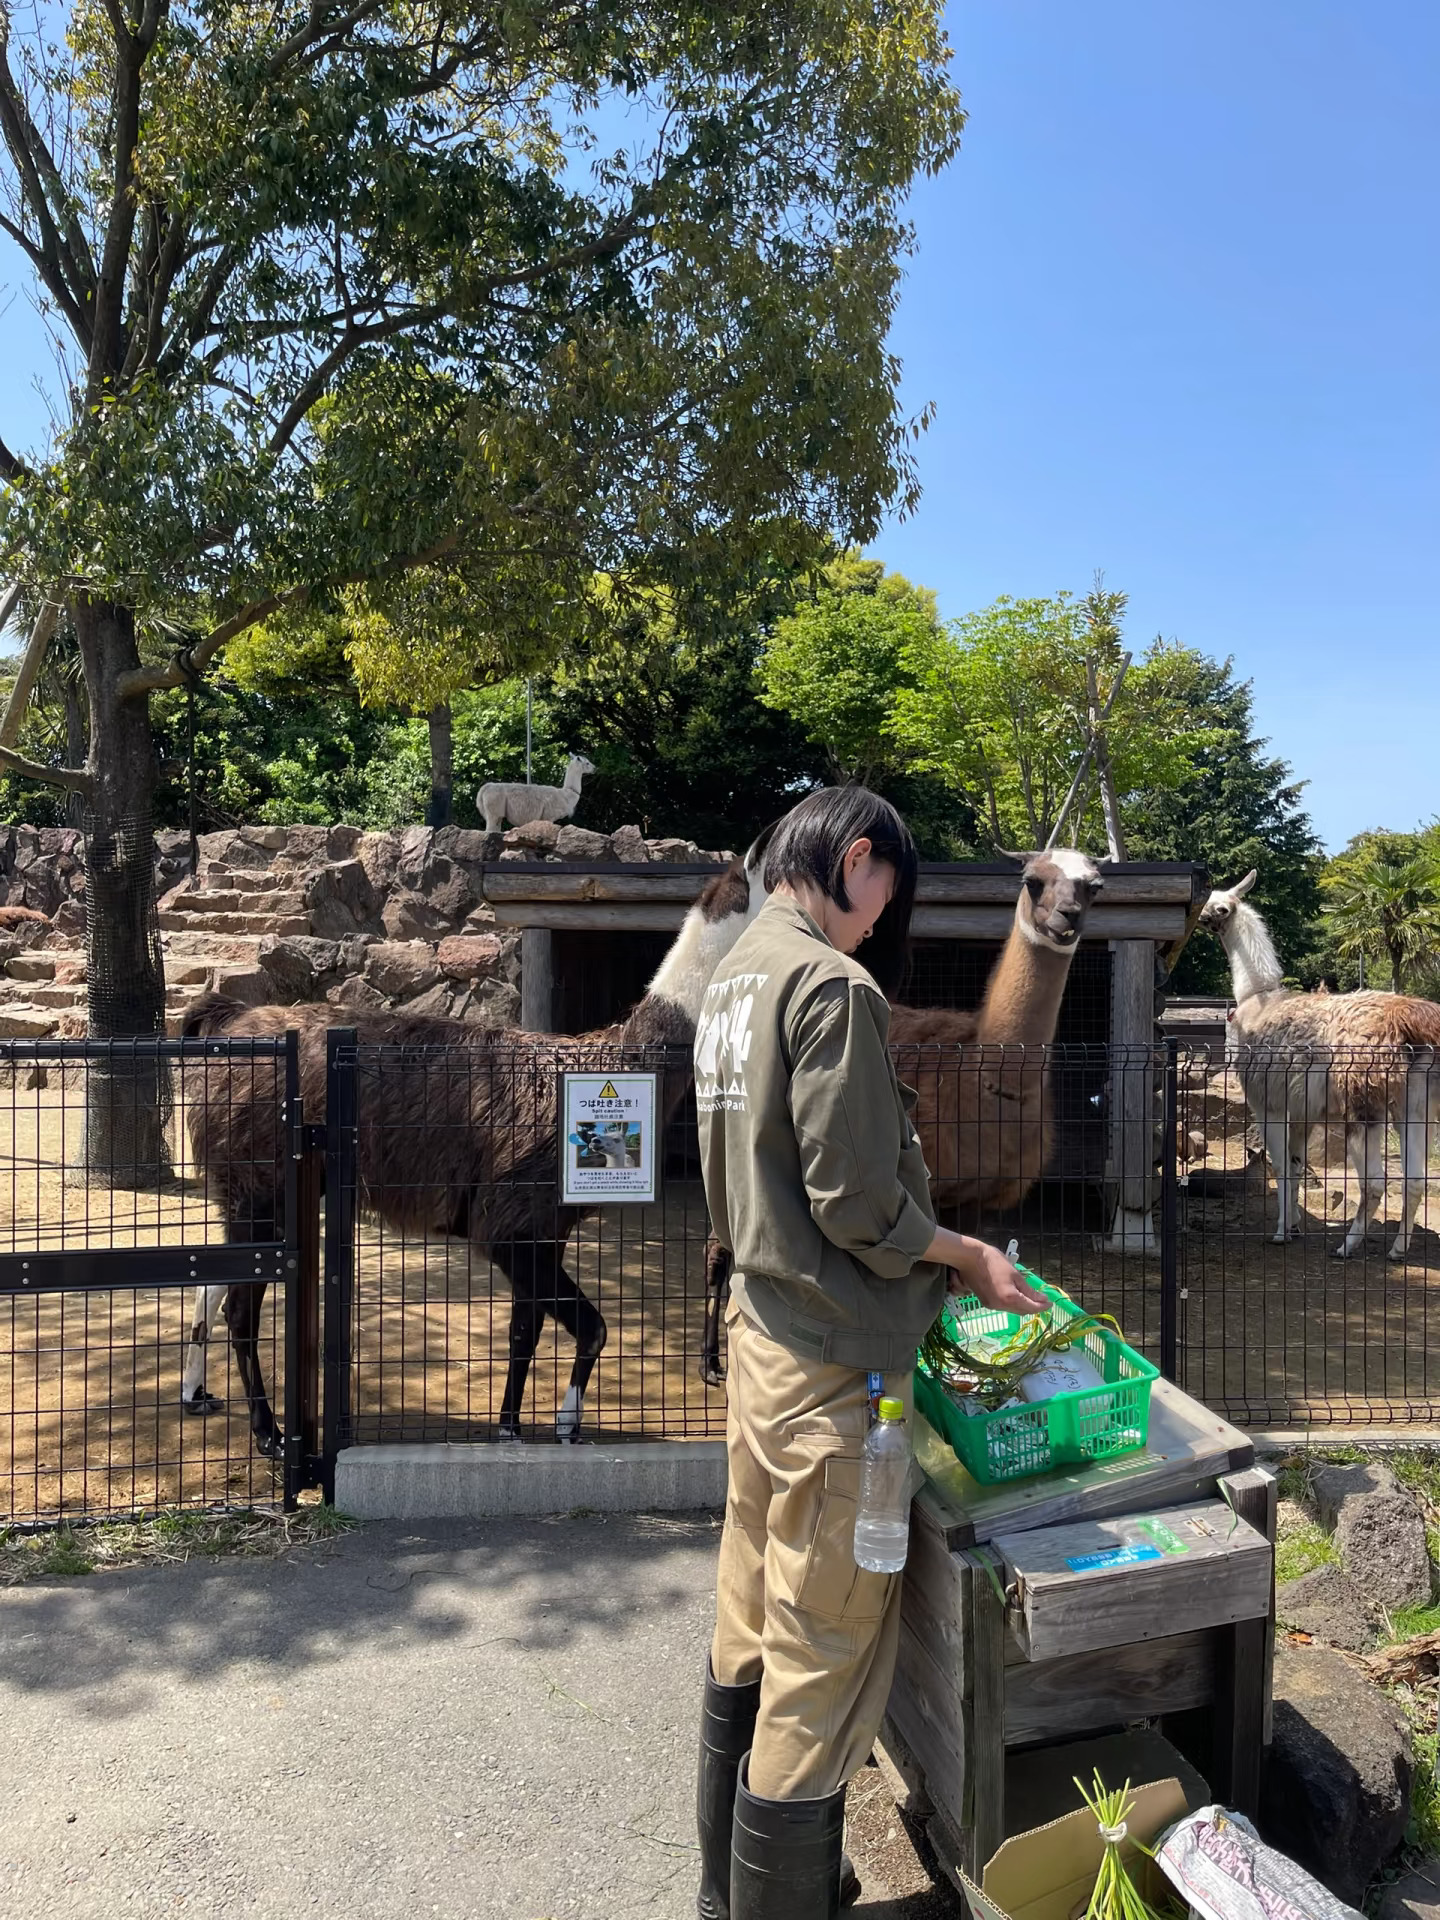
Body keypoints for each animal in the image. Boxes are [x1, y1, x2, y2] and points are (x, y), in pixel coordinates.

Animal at [179, 831, 772, 1455]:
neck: (613, 1064)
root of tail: (229, 1022)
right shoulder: (510, 1223)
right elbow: (592, 1328)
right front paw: (565, 1425)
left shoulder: (545, 1229)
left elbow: (525, 1332)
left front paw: (511, 1427)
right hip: (259, 1184)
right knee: (240, 1310)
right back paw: (268, 1433)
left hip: (257, 1192)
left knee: (211, 1283)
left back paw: (197, 1394)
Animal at [1200, 870, 1440, 1258]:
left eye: (1218, 904)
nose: (1203, 917)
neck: (1257, 999)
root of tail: (1408, 1018)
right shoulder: (1303, 1111)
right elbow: (1297, 1165)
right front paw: (1296, 1225)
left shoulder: (1266, 1102)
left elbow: (1280, 1165)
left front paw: (1281, 1231)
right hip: (1414, 1101)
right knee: (1415, 1179)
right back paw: (1397, 1249)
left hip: (1363, 1102)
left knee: (1376, 1182)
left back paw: (1347, 1246)